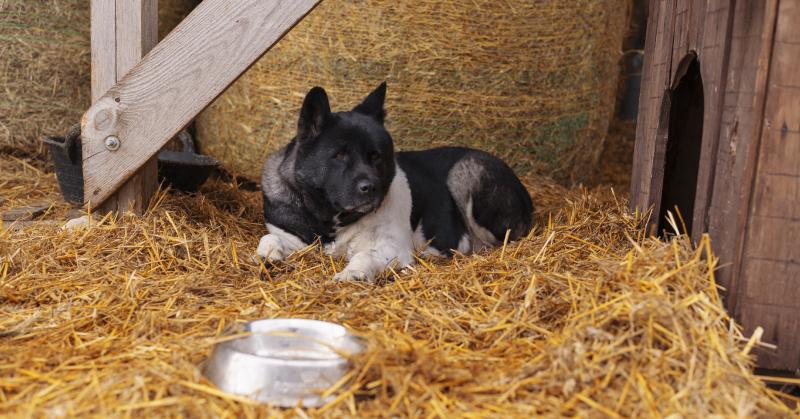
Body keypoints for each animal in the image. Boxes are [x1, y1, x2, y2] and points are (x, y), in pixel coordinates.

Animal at [258, 82, 532, 282]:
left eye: (376, 156)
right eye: (339, 155)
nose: (371, 188)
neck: (330, 218)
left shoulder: (392, 247)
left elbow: (366, 256)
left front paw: (353, 273)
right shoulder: (293, 236)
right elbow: (270, 238)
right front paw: (268, 254)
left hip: (466, 172)